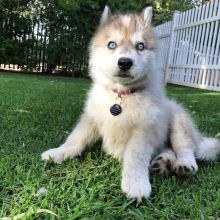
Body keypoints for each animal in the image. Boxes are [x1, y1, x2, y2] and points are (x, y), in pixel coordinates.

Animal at [41, 5, 220, 201]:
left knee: (184, 146)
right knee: (167, 149)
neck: (122, 96)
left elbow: (136, 157)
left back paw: (184, 164)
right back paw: (163, 163)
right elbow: (75, 139)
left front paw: (136, 184)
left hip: (178, 120)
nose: (125, 62)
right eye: (111, 44)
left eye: (140, 46)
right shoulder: (91, 119)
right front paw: (58, 153)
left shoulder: (143, 131)